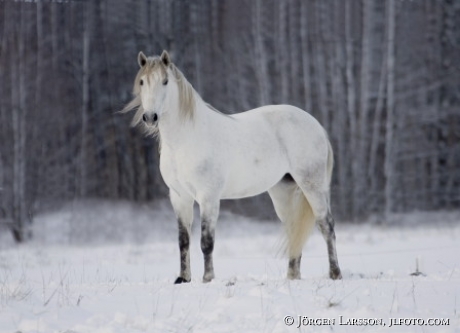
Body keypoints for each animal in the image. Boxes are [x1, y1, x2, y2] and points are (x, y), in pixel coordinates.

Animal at [122, 50, 342, 282]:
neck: (185, 140)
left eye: (165, 81)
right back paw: (292, 276)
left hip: (312, 185)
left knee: (326, 225)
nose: (150, 117)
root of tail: (316, 125)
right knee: (293, 229)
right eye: (142, 81)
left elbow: (206, 241)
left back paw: (335, 273)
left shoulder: (208, 197)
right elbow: (183, 241)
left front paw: (208, 278)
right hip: (283, 190)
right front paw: (183, 279)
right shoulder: (179, 197)